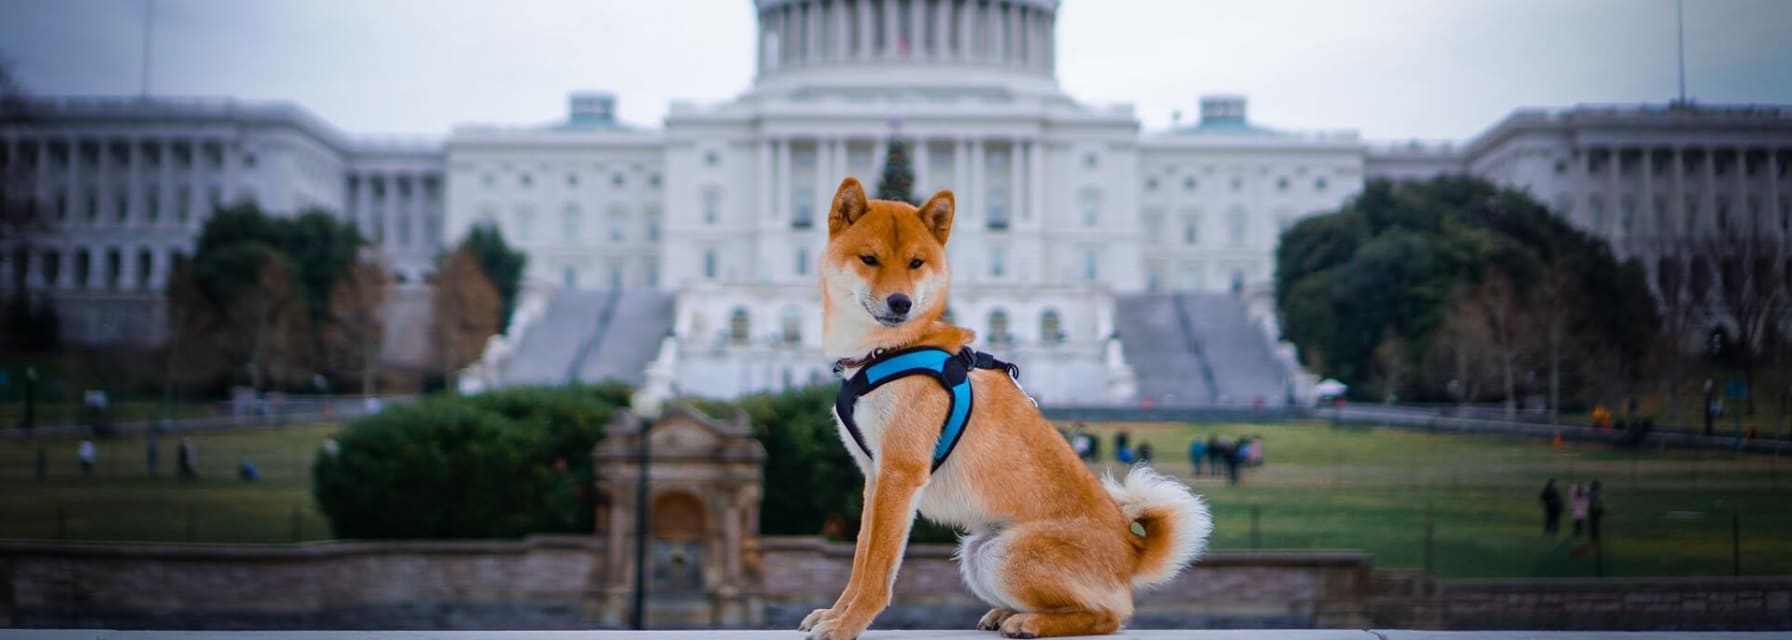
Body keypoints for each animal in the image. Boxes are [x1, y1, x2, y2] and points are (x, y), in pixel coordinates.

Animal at [802, 176, 1211, 634]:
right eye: (869, 259)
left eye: (916, 263)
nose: (900, 303)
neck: (889, 349)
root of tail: (1130, 551)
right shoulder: (876, 478)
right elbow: (861, 558)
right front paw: (837, 614)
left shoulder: (901, 474)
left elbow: (878, 567)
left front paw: (848, 626)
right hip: (979, 552)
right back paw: (1008, 614)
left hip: (1006, 555)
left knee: (1110, 616)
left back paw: (1030, 622)